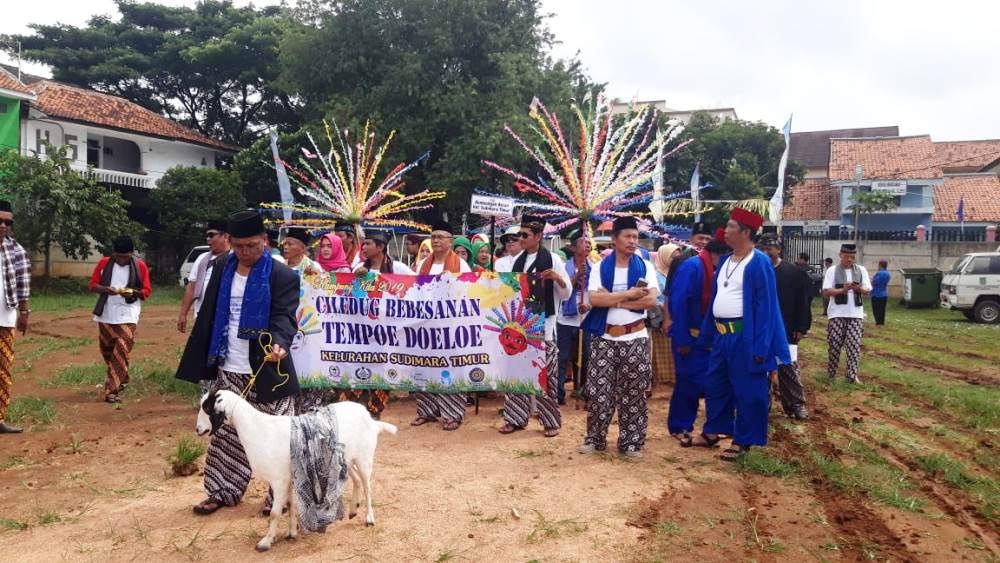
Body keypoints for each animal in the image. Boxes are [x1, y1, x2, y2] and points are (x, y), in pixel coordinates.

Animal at [195, 390, 398, 552]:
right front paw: (291, 533)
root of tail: (370, 418)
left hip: (364, 457)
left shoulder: (278, 480)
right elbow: (290, 504)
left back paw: (369, 518)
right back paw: (353, 509)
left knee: (367, 486)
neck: (258, 429)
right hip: (345, 458)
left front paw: (265, 542)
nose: (198, 429)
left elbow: (275, 512)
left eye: (207, 408)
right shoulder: (289, 477)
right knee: (355, 479)